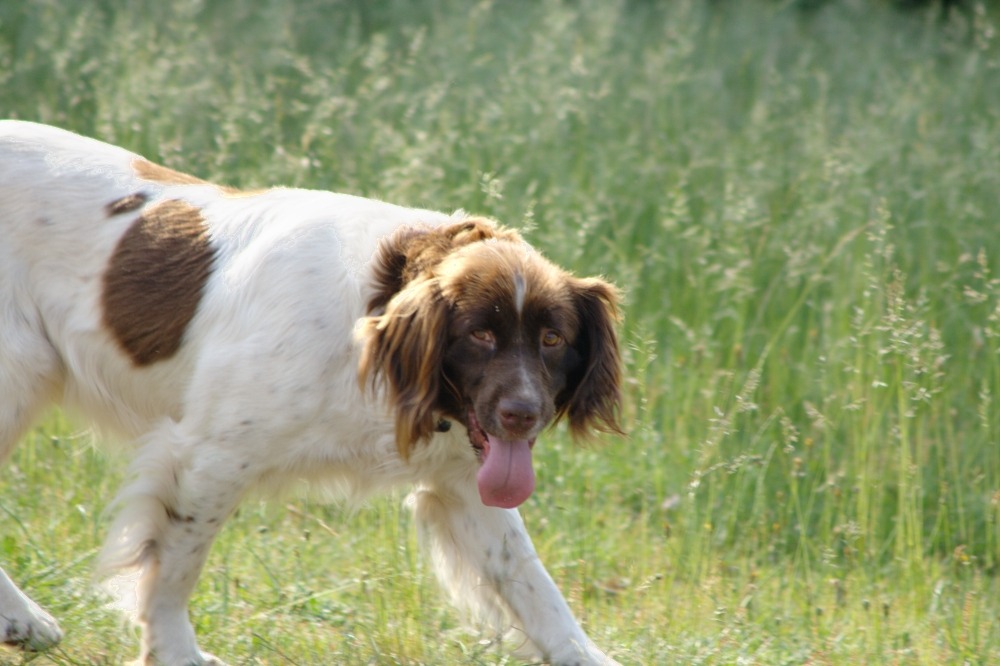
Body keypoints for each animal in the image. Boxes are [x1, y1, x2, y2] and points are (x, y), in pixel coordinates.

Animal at [0, 122, 620, 660]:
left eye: (552, 339)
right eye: (480, 335)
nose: (524, 414)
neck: (368, 324)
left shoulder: (464, 482)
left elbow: (532, 584)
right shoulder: (206, 458)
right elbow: (175, 568)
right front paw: (175, 652)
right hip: (21, 373)